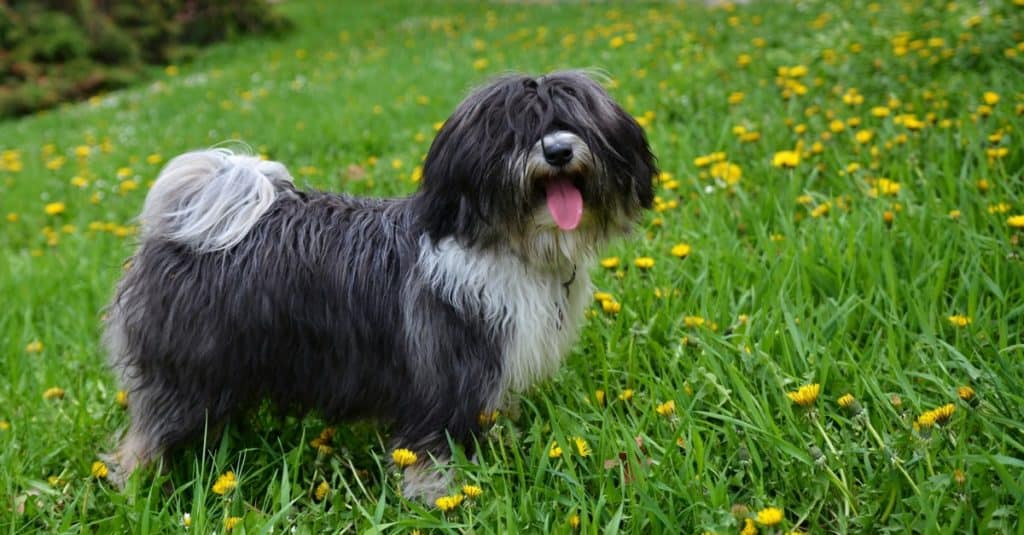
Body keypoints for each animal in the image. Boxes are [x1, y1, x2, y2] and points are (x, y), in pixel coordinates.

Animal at [103, 68, 655, 498]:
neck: (505, 243)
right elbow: (431, 447)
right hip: (187, 369)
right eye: (515, 130)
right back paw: (136, 487)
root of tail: (177, 231)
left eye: (573, 120)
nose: (558, 151)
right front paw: (438, 498)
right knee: (143, 436)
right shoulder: (440, 374)